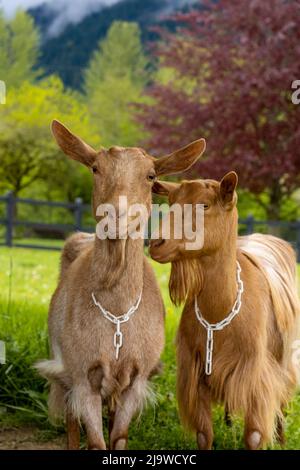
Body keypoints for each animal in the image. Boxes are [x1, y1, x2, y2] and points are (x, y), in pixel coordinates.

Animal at [34, 119, 205, 450]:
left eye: (151, 175)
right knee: (71, 423)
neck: (116, 316)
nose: (116, 215)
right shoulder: (81, 376)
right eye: (95, 168)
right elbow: (95, 441)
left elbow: (118, 436)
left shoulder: (135, 381)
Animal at [150, 174, 300, 450]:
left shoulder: (257, 375)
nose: (156, 244)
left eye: (205, 205)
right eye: (172, 202)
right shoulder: (195, 370)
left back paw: (282, 439)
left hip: (285, 355)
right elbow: (203, 434)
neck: (219, 314)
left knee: (283, 400)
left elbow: (254, 435)